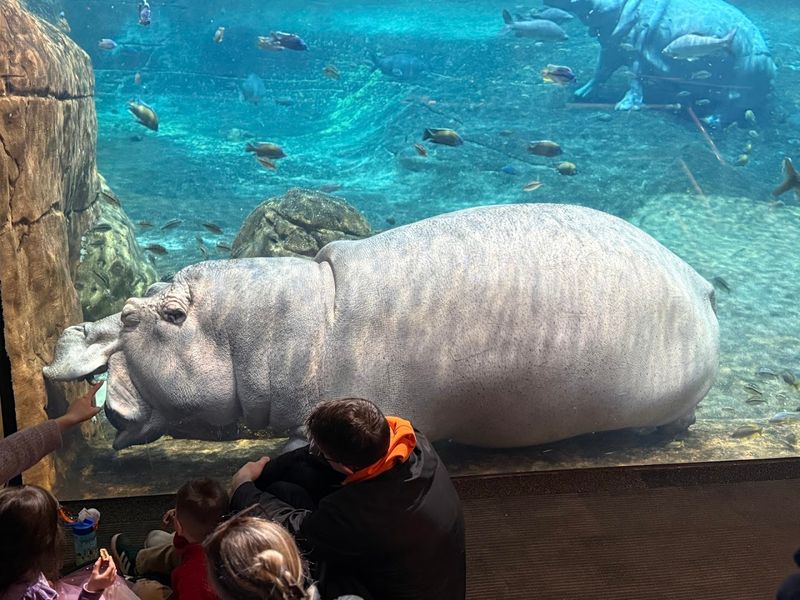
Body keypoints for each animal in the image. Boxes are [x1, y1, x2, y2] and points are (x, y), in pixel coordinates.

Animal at [544, 0, 776, 122]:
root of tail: (773, 68)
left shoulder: (637, 50)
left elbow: (634, 80)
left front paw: (624, 107)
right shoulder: (612, 46)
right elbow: (600, 71)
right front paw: (580, 94)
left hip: (743, 81)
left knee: (733, 106)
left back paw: (710, 121)